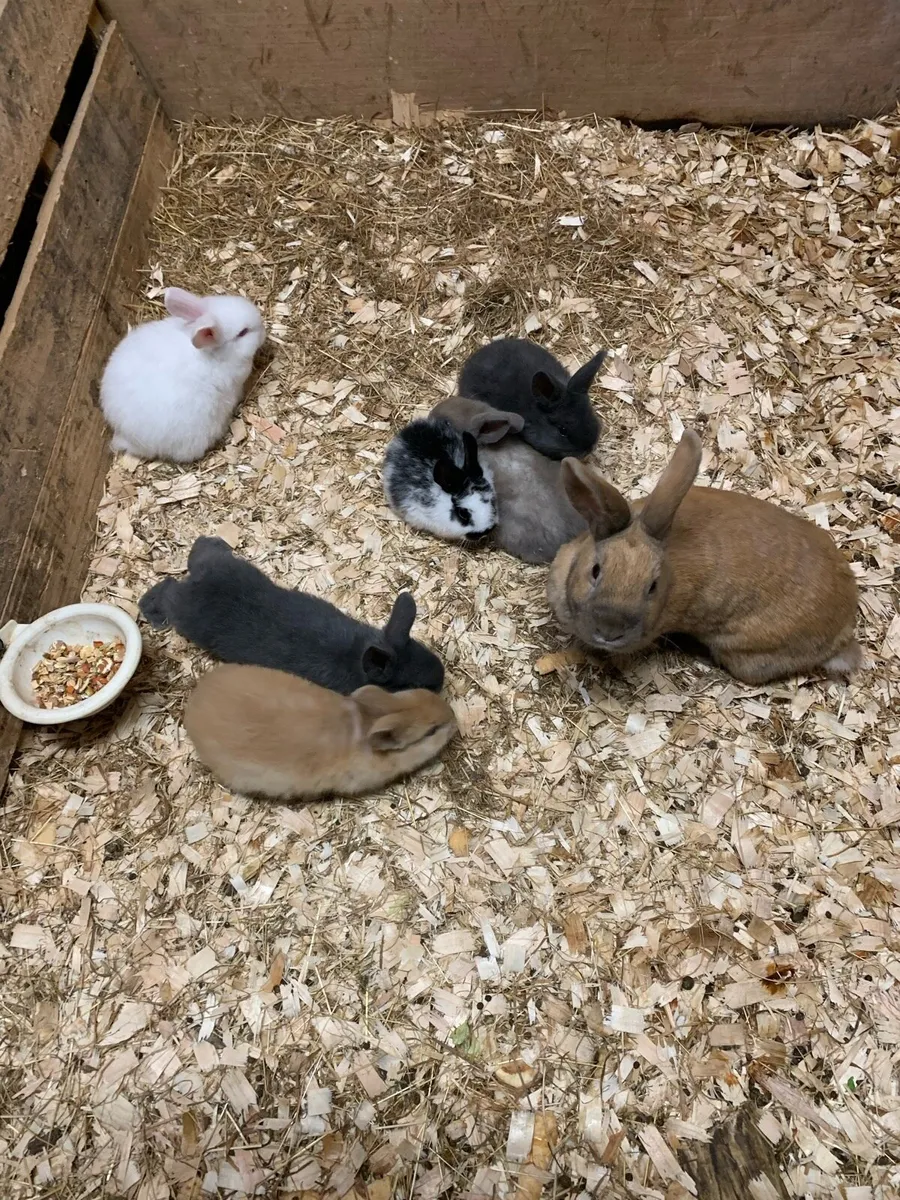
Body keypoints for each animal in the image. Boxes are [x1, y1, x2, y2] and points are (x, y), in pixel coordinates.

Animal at [139, 536, 445, 694]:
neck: (354, 657)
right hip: (184, 613)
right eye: (412, 685)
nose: (441, 681)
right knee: (167, 589)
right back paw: (151, 612)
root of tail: (198, 581)